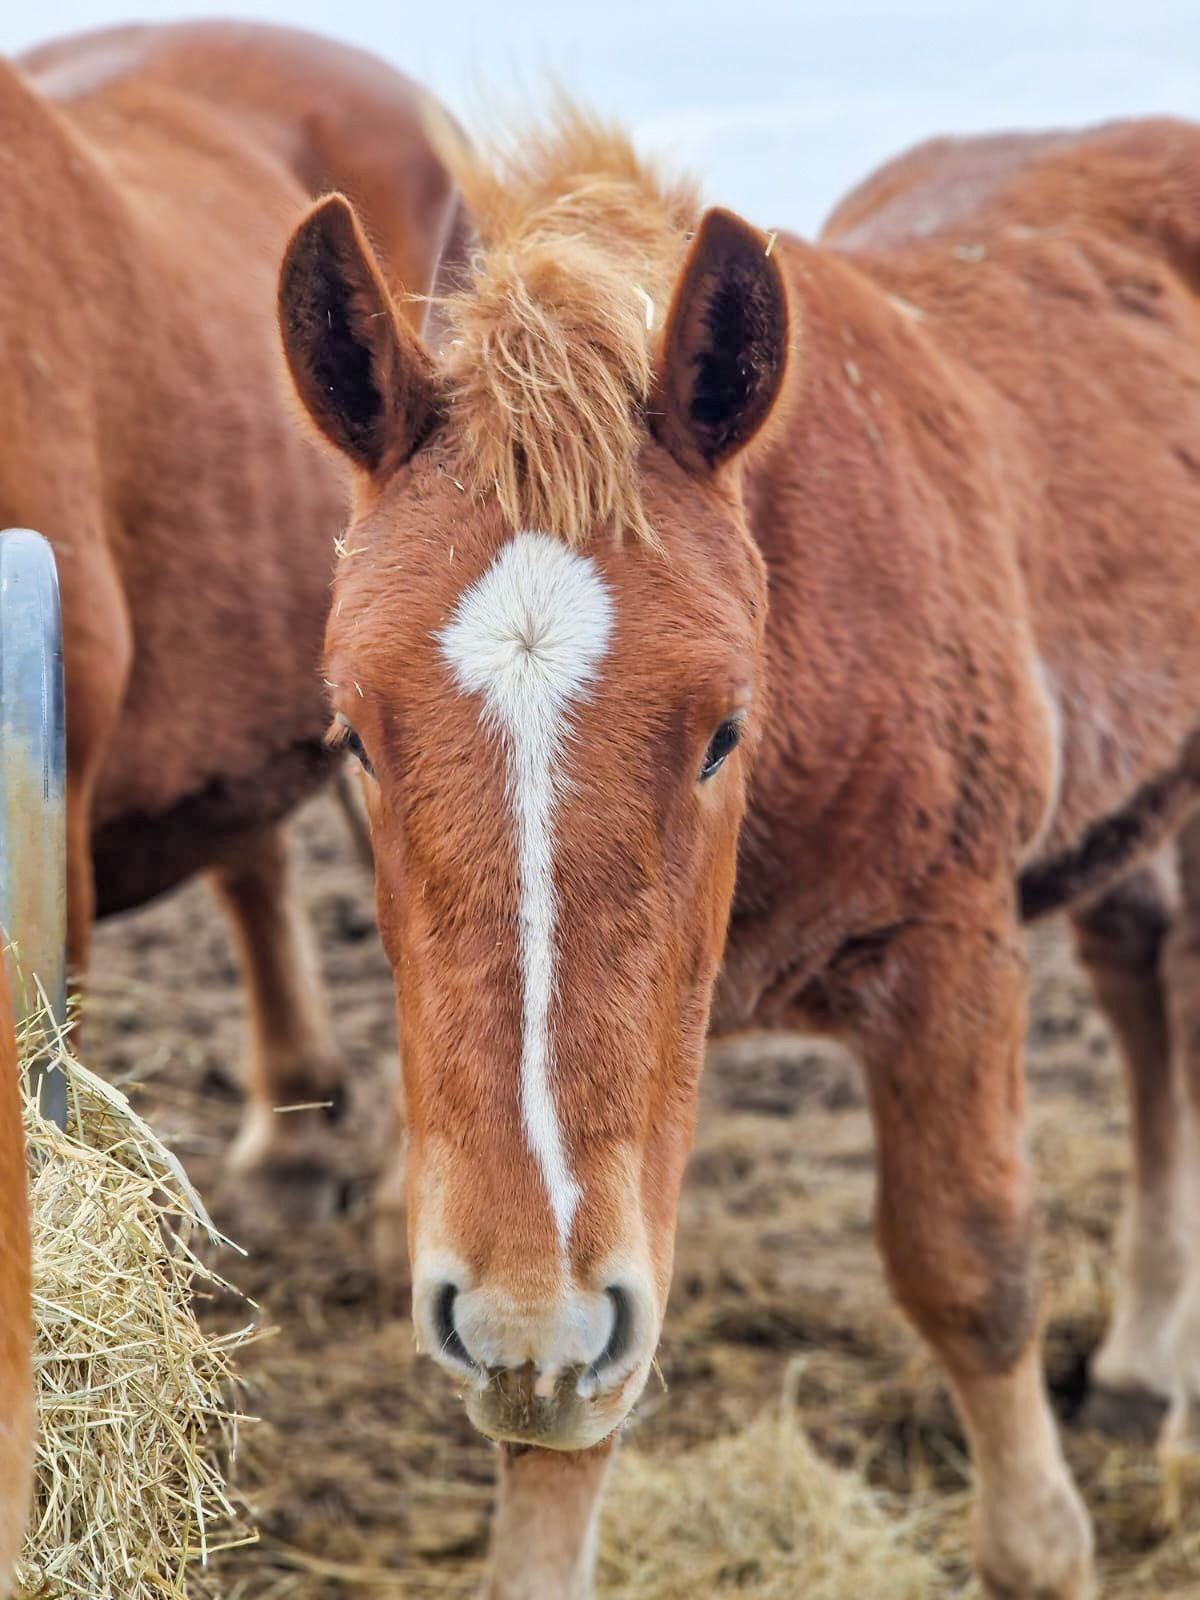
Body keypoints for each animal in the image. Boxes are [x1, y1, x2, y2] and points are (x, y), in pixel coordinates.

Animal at [278, 107, 1200, 1598]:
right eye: (352, 734)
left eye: (724, 729)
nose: (516, 1317)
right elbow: (569, 1429)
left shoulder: (949, 949)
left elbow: (972, 1266)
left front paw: (1047, 1542)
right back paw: (1138, 1362)